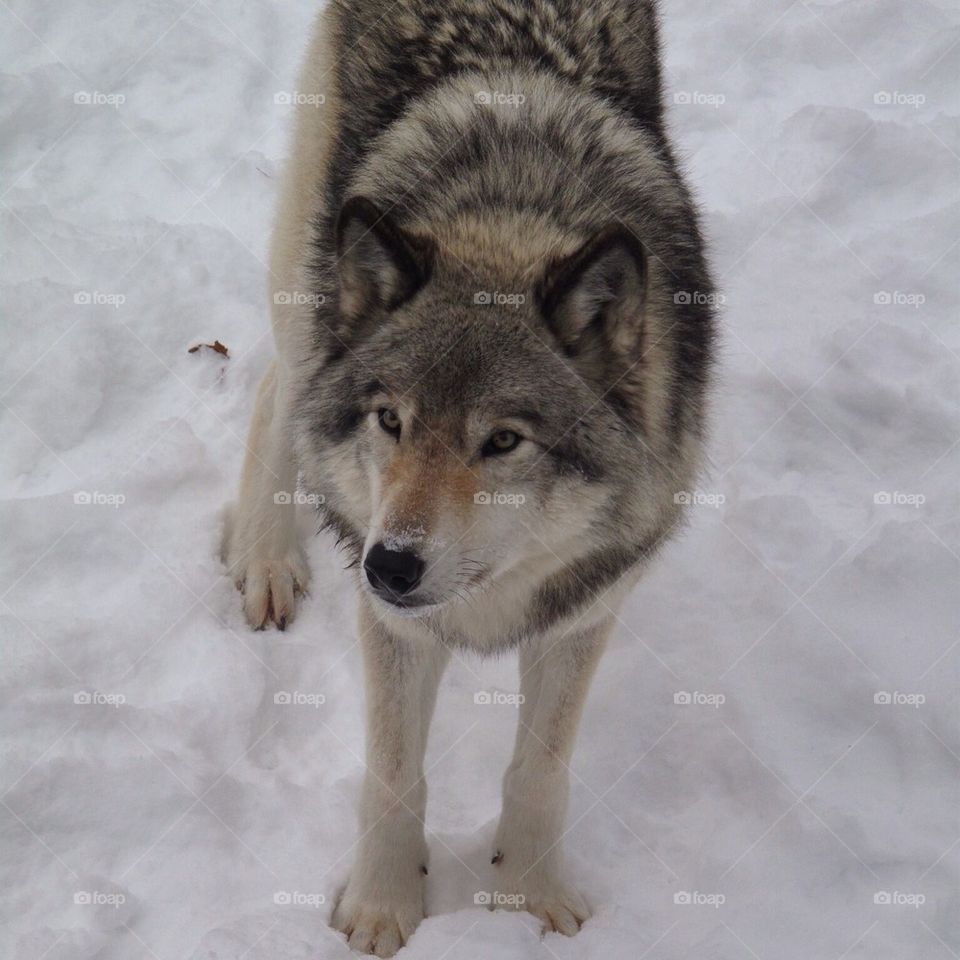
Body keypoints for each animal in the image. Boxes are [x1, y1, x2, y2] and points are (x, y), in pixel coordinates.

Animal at [223, 0, 715, 953]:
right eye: (392, 422)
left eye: (503, 442)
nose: (388, 565)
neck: (506, 221)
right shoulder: (393, 626)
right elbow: (392, 775)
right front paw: (383, 909)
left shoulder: (581, 615)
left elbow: (540, 771)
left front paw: (526, 899)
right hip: (311, 262)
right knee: (279, 387)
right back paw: (265, 560)